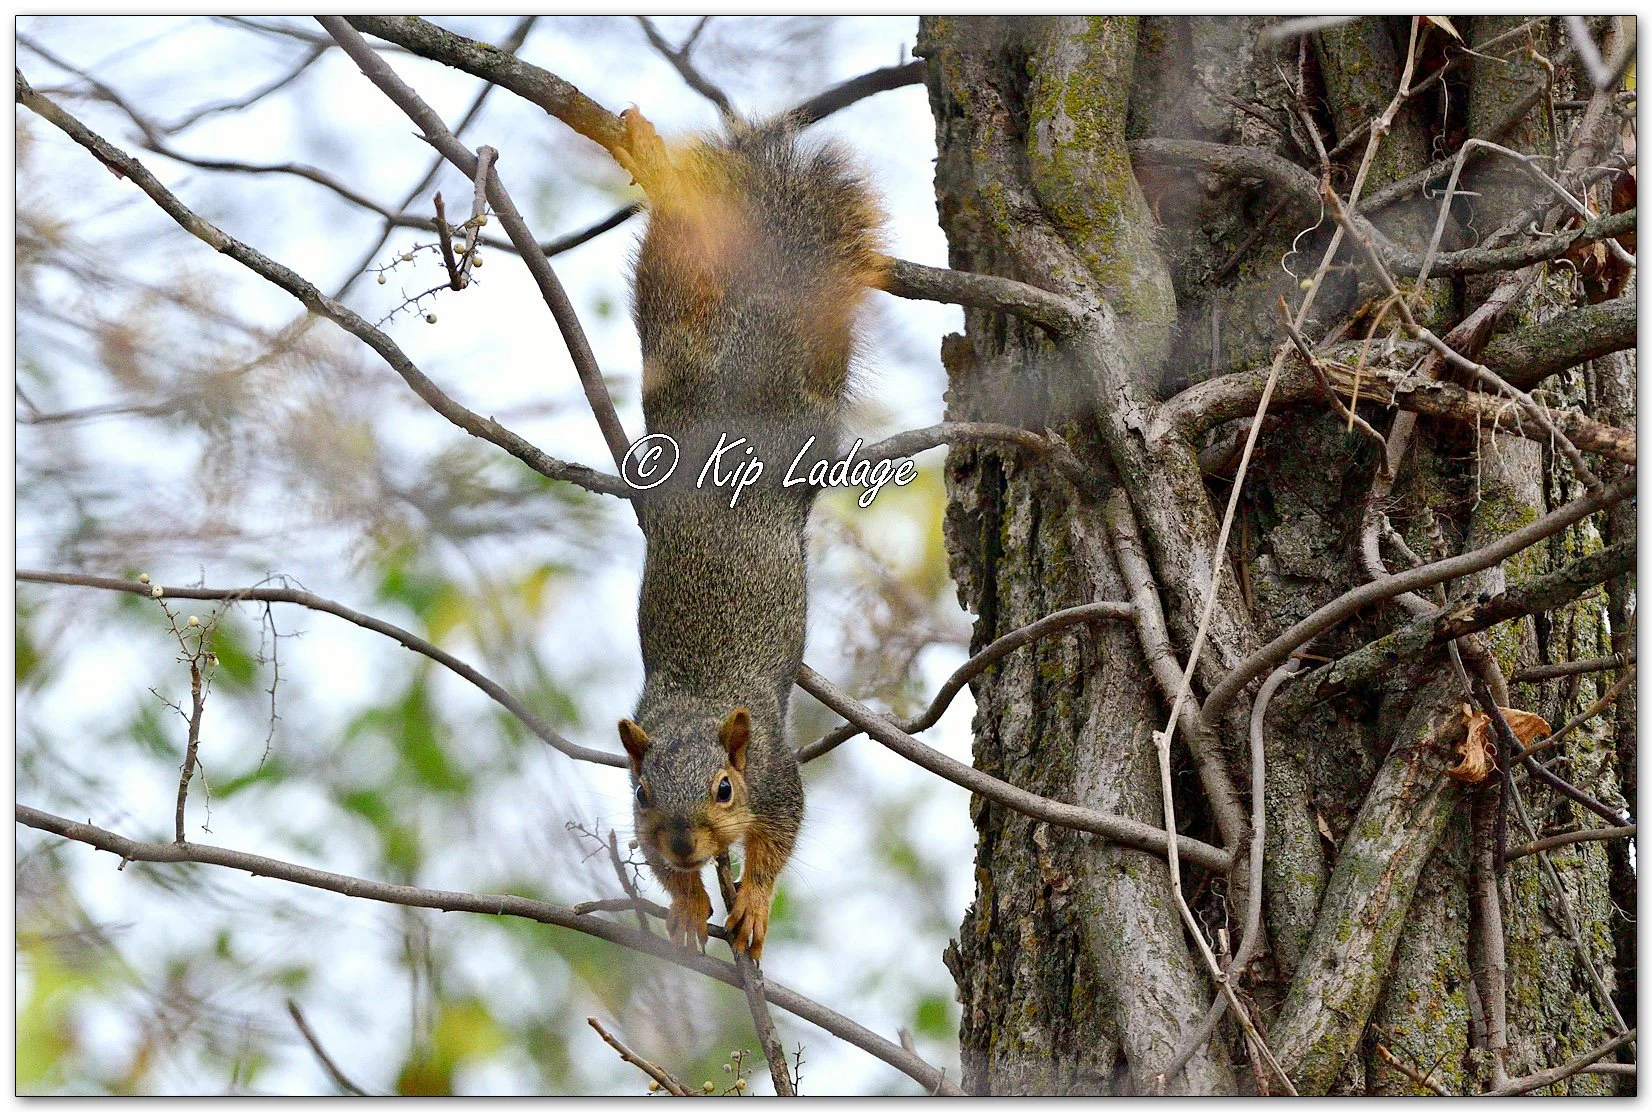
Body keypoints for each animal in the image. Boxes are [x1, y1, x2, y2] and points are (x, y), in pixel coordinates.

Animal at [612, 108, 885, 961]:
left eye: (725, 788)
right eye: (641, 792)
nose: (682, 842)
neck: (700, 702)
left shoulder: (777, 773)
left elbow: (778, 843)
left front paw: (753, 904)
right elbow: (665, 879)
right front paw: (687, 903)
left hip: (810, 411)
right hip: (673, 363)